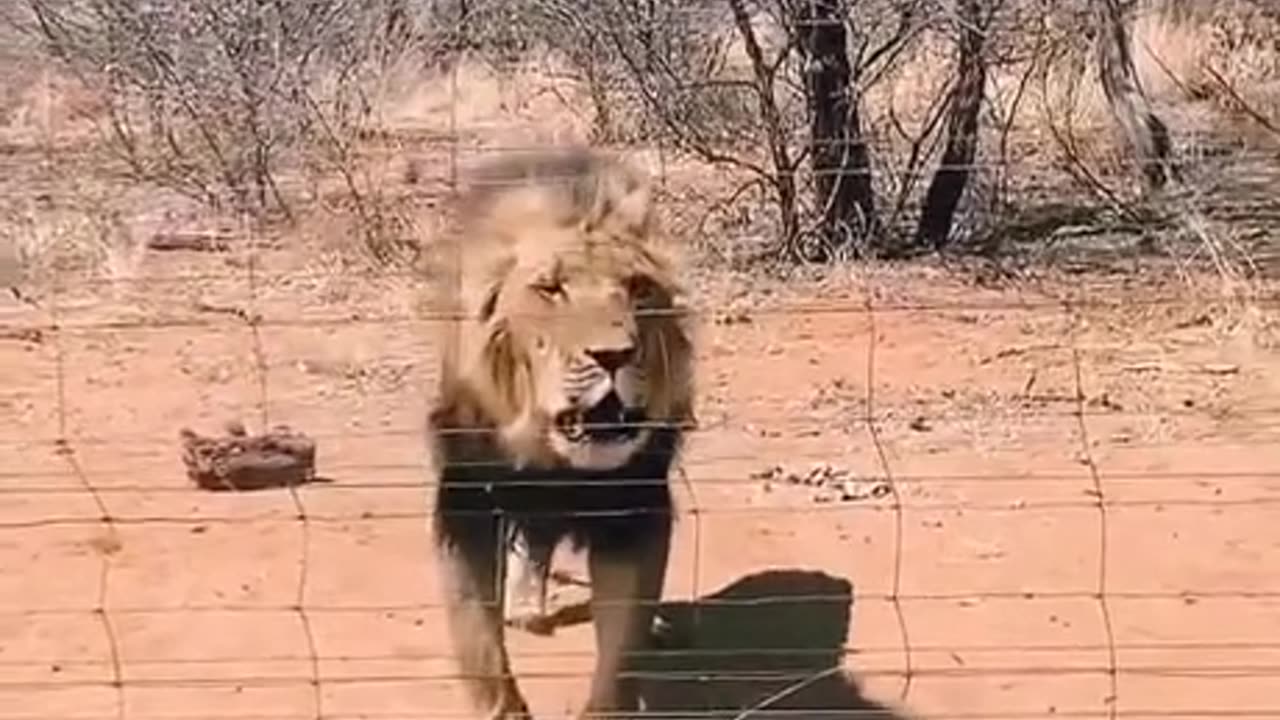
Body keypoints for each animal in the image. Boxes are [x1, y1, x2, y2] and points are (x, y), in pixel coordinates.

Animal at [424, 147, 696, 717]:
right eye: (550, 289)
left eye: (637, 289)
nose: (614, 355)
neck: (553, 458)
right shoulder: (466, 505)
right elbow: (478, 642)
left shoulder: (632, 514)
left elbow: (621, 646)